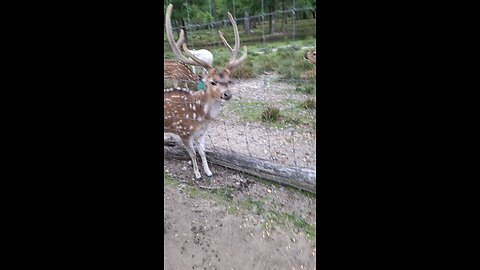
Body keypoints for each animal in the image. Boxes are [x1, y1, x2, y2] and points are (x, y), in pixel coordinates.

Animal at [164, 3, 248, 179]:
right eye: (212, 82)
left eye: (228, 81)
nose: (227, 94)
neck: (200, 117)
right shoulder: (184, 132)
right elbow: (192, 154)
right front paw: (197, 174)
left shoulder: (201, 134)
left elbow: (203, 152)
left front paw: (209, 172)